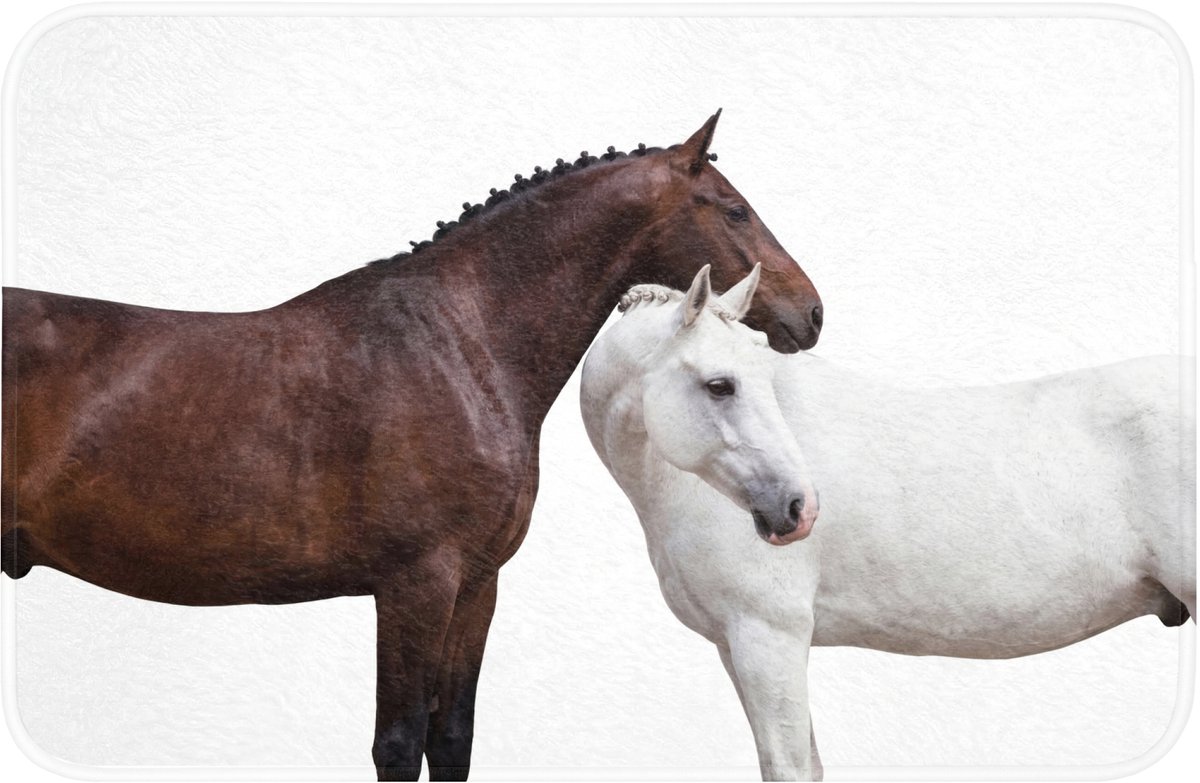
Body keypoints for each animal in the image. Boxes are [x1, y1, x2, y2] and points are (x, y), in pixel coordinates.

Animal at [0, 112, 823, 781]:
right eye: (734, 209)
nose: (812, 312)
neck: (458, 344)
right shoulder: (413, 584)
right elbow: (397, 744)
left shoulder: (476, 585)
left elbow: (450, 737)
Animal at [580, 266, 1195, 781]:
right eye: (720, 385)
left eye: (751, 377)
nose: (798, 508)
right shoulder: (736, 645)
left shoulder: (768, 636)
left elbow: (789, 767)